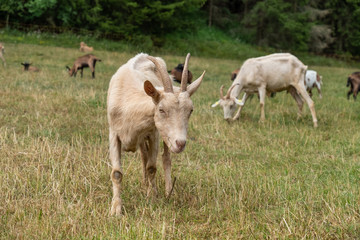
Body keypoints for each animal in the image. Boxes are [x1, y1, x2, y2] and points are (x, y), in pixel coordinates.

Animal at [107, 52, 205, 216]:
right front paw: (116, 209)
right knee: (143, 156)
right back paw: (144, 183)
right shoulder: (114, 133)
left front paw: (152, 198)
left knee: (165, 158)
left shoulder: (154, 134)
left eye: (190, 110)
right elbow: (116, 173)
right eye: (161, 109)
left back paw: (168, 191)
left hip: (163, 137)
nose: (180, 143)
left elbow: (152, 167)